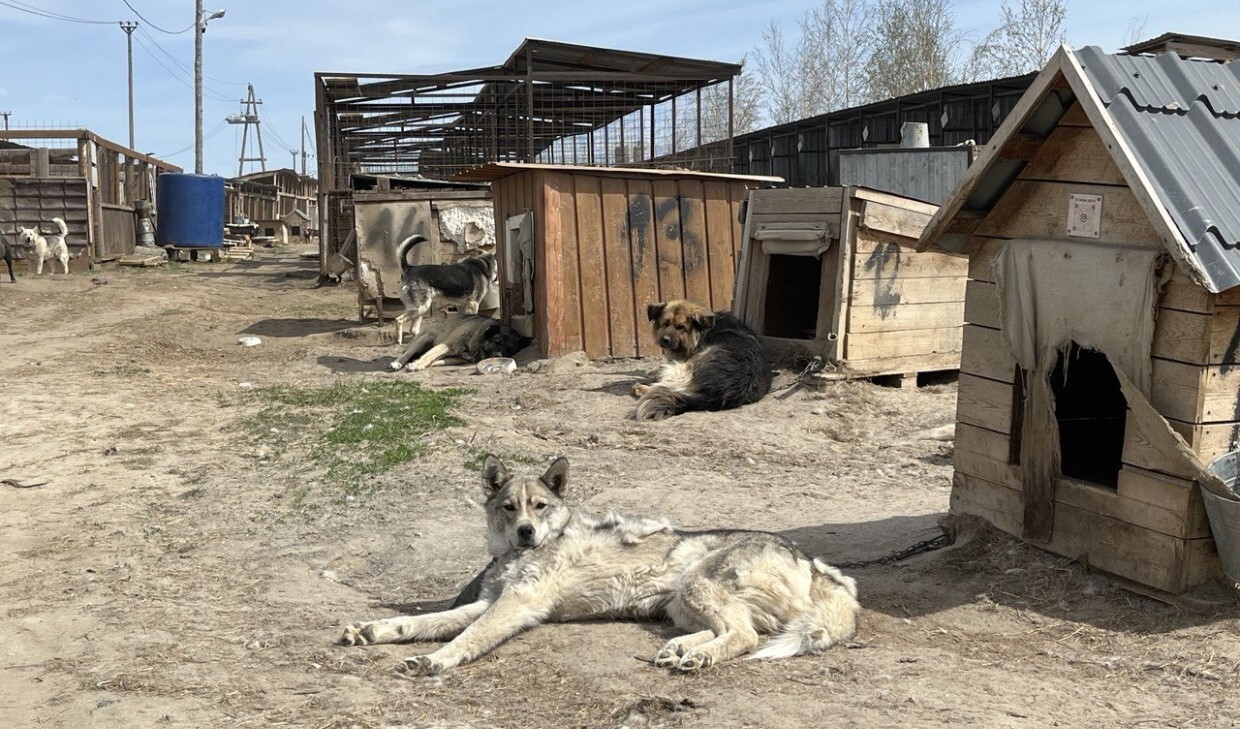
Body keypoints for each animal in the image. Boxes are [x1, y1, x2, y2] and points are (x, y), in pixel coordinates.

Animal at [339, 456, 863, 674]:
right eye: (510, 508)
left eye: (539, 507)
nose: (526, 532)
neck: (518, 556)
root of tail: (815, 562)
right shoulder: (488, 603)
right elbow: (422, 622)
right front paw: (374, 631)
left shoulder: (515, 605)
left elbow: (466, 637)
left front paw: (436, 660)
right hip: (681, 604)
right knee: (733, 630)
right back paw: (680, 650)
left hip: (697, 585)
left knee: (746, 636)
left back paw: (697, 657)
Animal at [634, 297, 768, 421]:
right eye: (665, 324)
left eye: (681, 327)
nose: (665, 340)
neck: (703, 331)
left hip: (689, 364)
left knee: (671, 386)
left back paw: (642, 389)